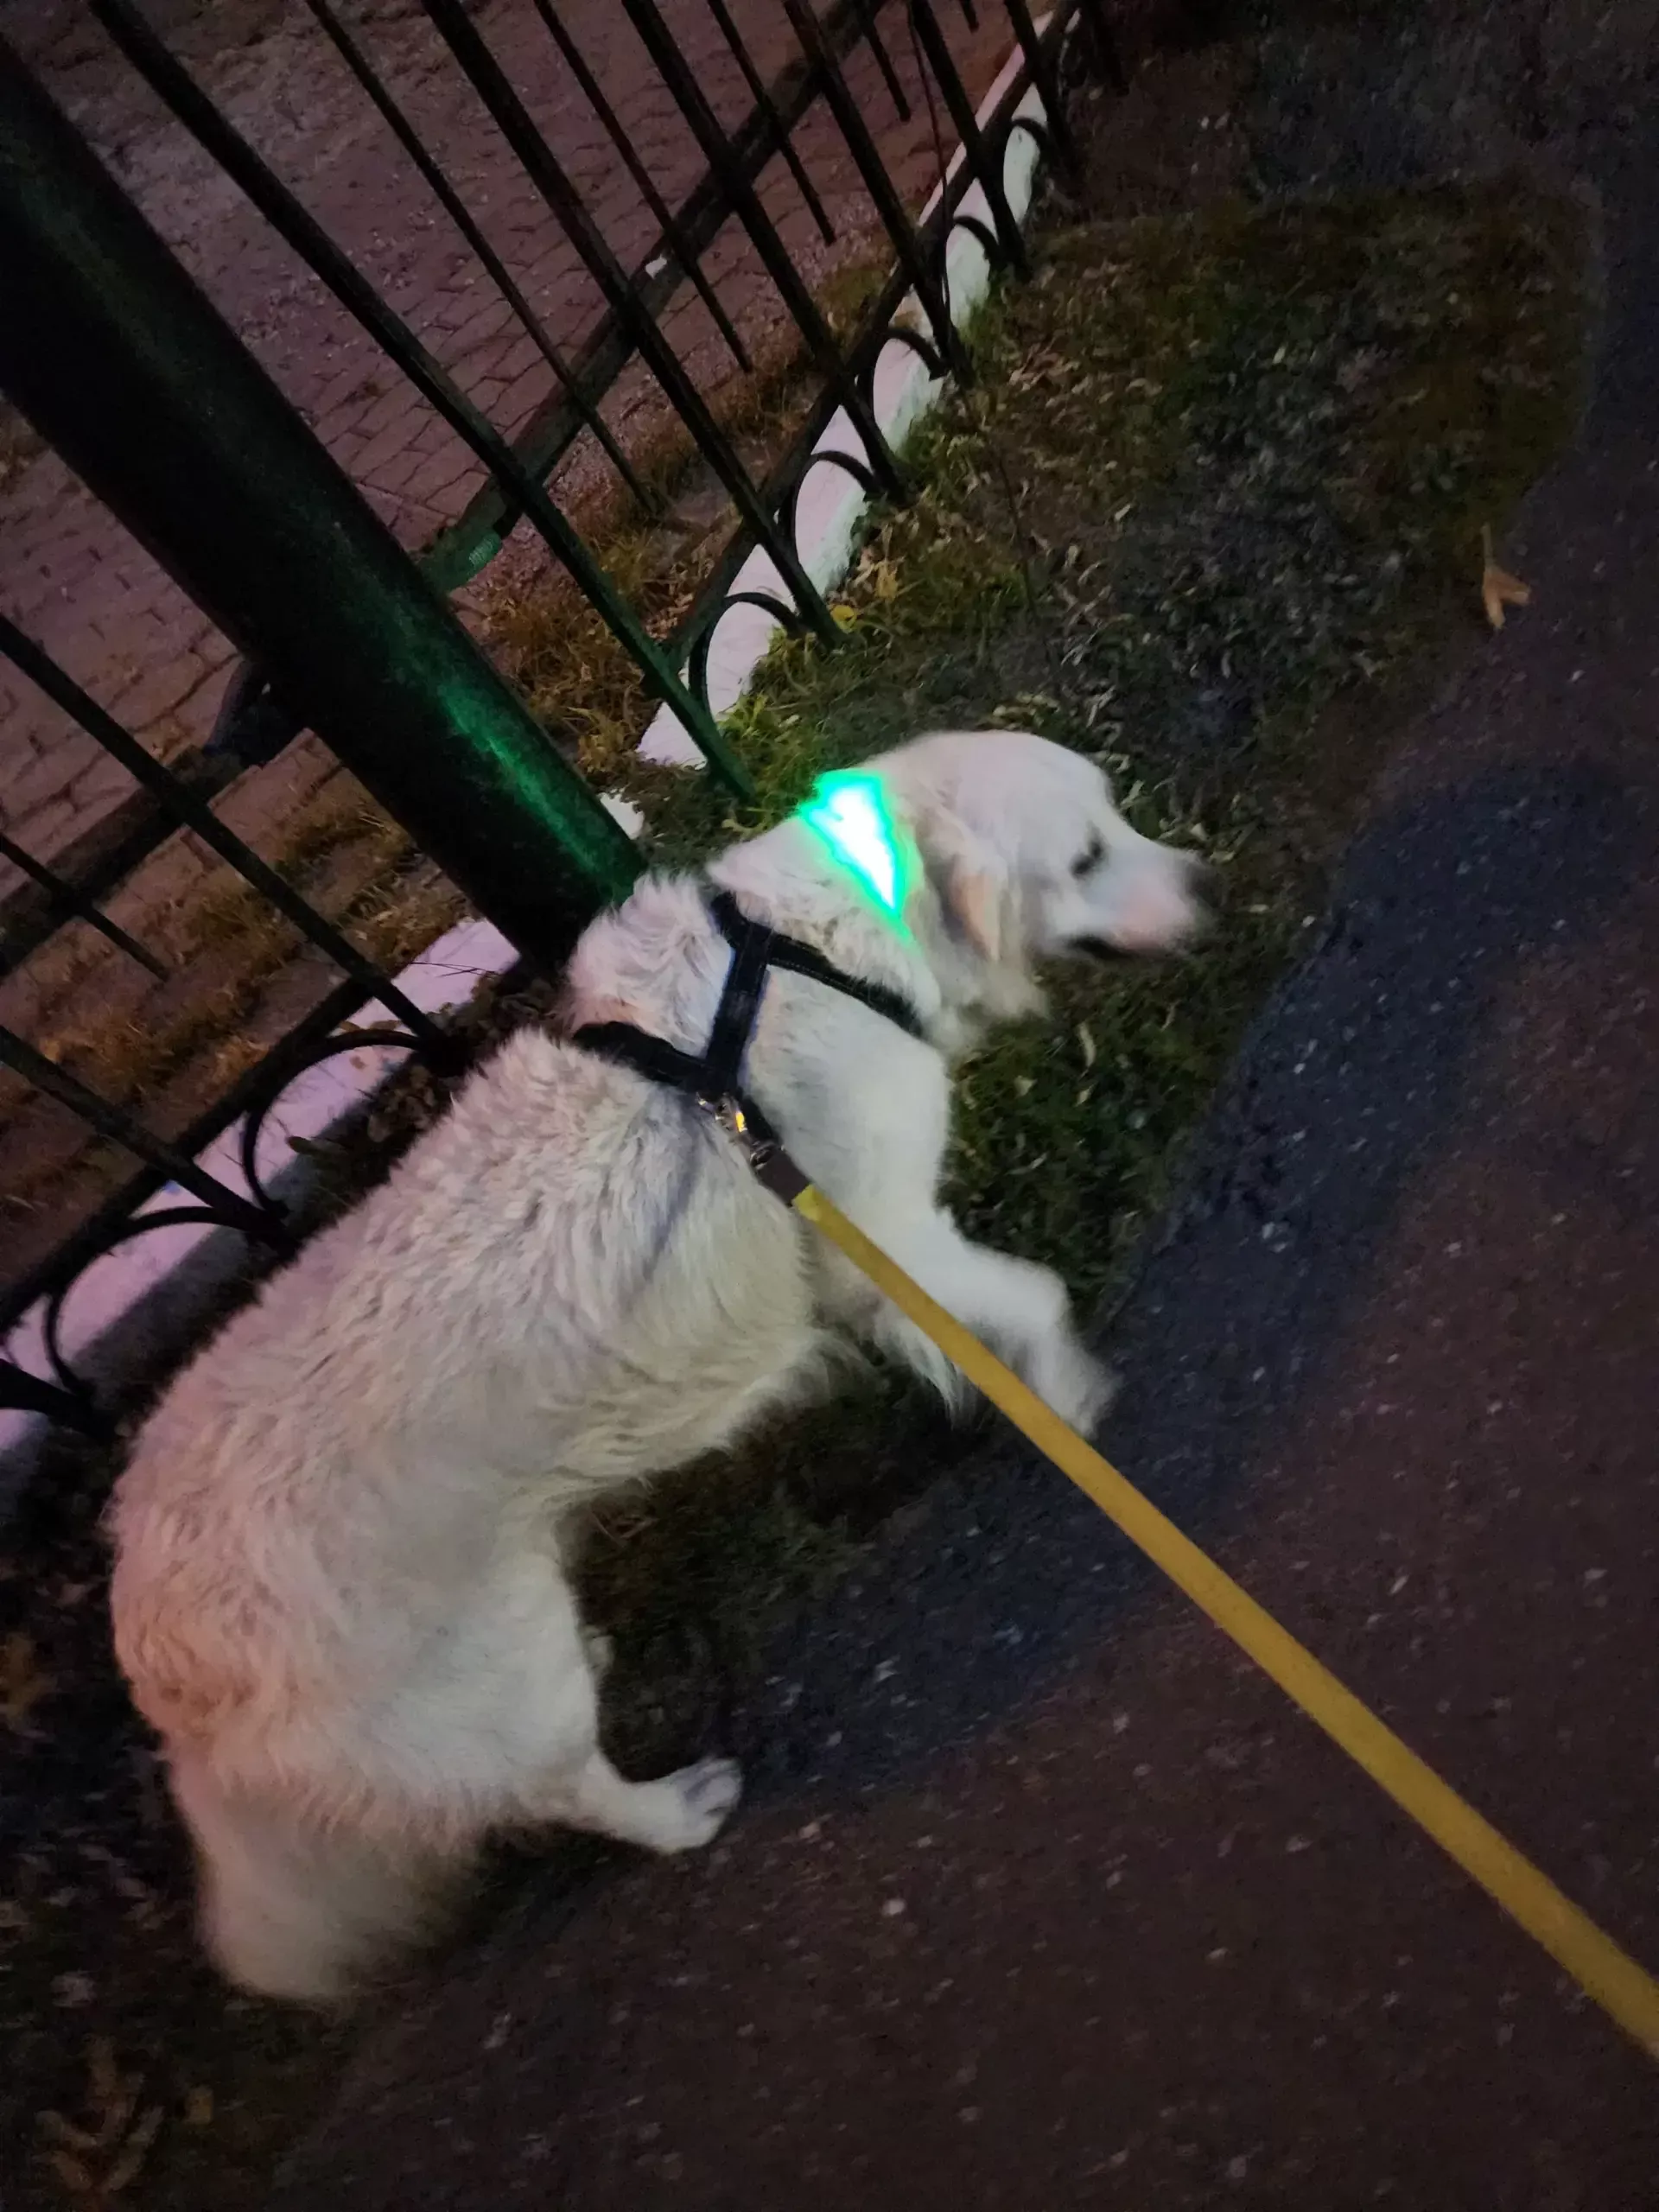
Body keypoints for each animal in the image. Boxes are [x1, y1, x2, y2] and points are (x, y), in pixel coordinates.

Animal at [108, 729, 1206, 2003]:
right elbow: (1034, 1295)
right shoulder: (887, 1232)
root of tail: (152, 1654)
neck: (824, 939)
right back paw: (678, 1808)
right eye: (1082, 860)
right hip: (501, 1678)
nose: (1206, 882)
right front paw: (1072, 1395)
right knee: (564, 1787)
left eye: (1118, 818)